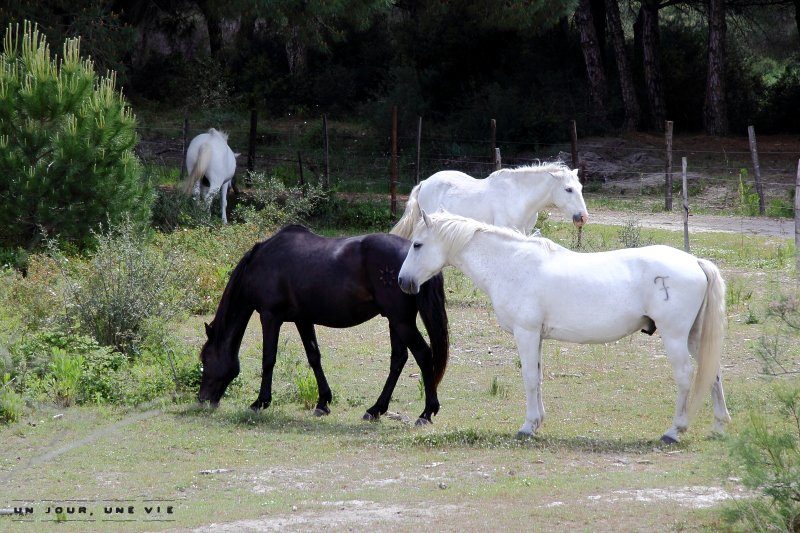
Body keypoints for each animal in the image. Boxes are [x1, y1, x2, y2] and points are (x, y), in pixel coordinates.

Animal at [198, 224, 450, 424]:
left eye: (206, 359)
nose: (202, 399)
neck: (262, 261)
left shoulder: (270, 316)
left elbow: (268, 359)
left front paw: (260, 402)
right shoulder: (302, 319)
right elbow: (314, 357)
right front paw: (323, 402)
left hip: (400, 321)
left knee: (423, 355)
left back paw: (426, 413)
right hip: (395, 321)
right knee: (398, 360)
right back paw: (375, 409)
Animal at [396, 210, 728, 442]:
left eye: (417, 244)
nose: (403, 281)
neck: (511, 264)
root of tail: (695, 262)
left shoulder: (526, 333)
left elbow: (530, 379)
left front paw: (527, 427)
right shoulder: (537, 337)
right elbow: (539, 377)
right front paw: (537, 423)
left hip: (675, 337)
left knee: (685, 376)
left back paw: (674, 431)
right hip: (694, 337)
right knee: (712, 373)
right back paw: (719, 427)